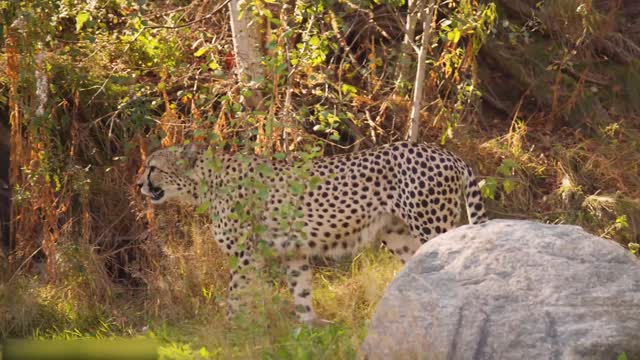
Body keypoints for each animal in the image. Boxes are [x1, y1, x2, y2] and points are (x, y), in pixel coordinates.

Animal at [138, 141, 488, 324]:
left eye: (153, 167)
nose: (139, 183)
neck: (207, 183)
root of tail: (444, 152)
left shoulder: (246, 257)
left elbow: (235, 295)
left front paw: (230, 330)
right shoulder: (293, 252)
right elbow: (301, 291)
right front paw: (309, 329)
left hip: (432, 225)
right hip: (400, 235)